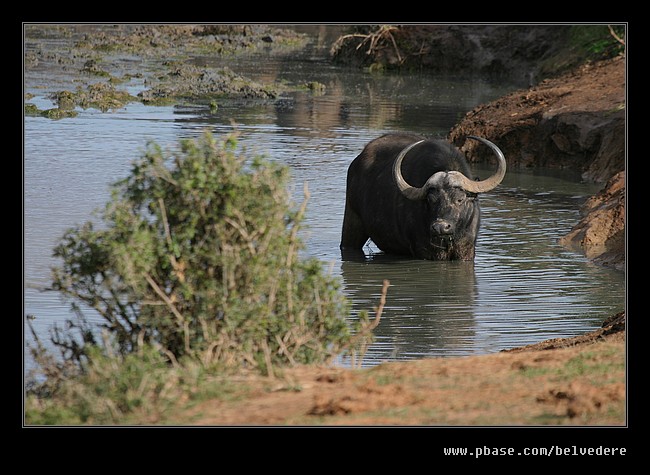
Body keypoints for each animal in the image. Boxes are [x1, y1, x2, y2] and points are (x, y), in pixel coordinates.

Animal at [340, 133, 506, 260]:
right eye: (431, 200)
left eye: (460, 199)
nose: (440, 227)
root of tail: (356, 163)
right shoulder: (427, 251)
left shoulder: (466, 250)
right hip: (351, 222)